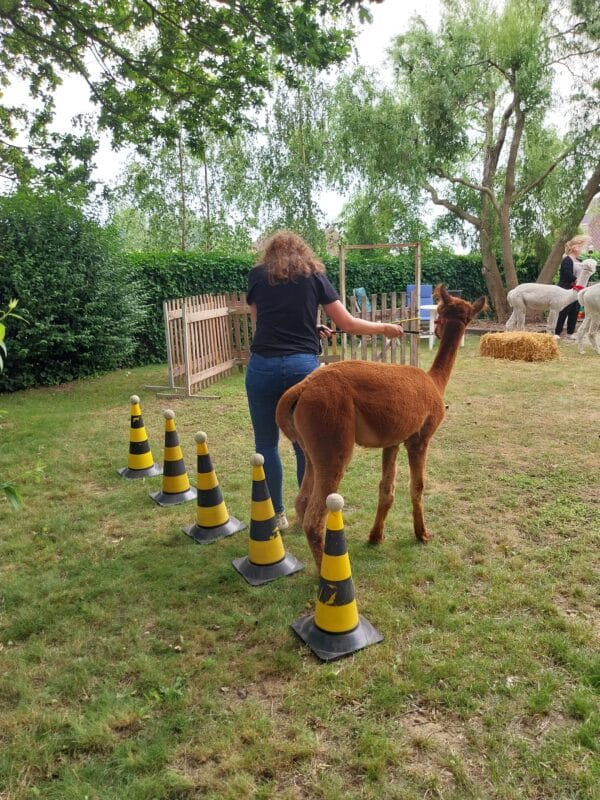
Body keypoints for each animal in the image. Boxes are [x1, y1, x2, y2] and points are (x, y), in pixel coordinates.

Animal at [275, 285, 486, 569]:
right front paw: (422, 534)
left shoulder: (393, 441)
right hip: (333, 439)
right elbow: (417, 487)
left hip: (312, 448)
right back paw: (326, 575)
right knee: (314, 517)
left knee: (302, 501)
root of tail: (303, 387)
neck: (435, 382)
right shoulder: (419, 438)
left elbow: (386, 489)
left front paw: (376, 536)